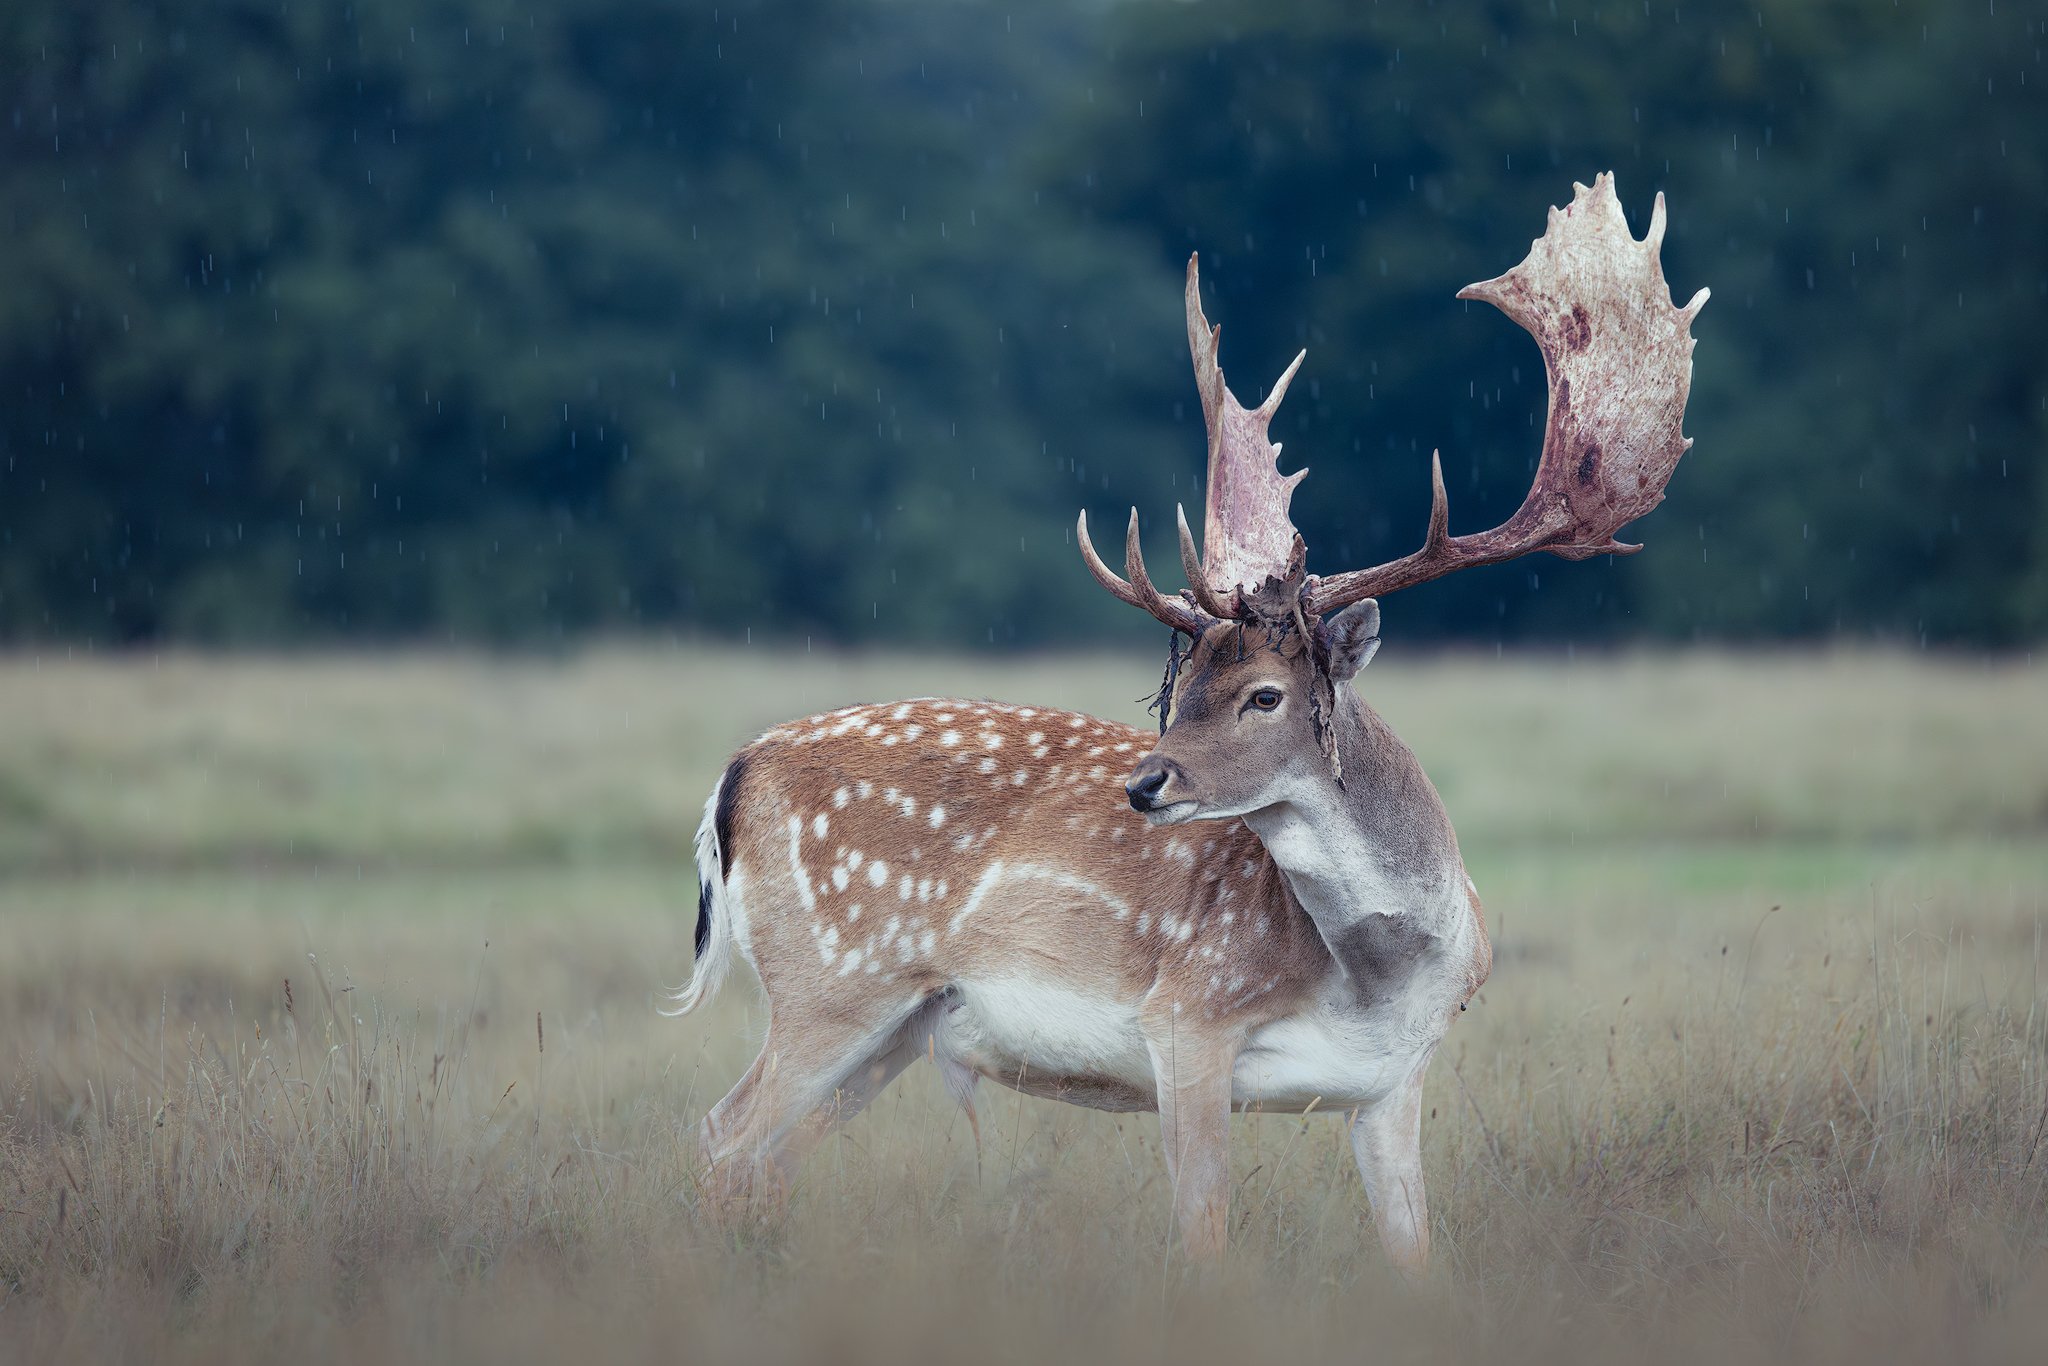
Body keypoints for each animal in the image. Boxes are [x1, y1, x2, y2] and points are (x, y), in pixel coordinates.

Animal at [666, 174, 1706, 1276]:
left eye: (1264, 693)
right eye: (1181, 685)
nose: (1144, 781)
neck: (1381, 971)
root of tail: (736, 773)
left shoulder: (1393, 1082)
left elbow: (1412, 1250)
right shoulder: (1187, 1019)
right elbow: (1202, 1233)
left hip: (902, 1021)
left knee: (767, 1159)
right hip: (832, 979)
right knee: (723, 1136)